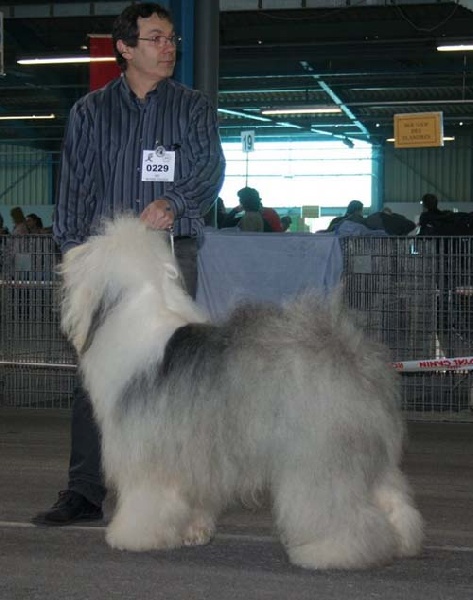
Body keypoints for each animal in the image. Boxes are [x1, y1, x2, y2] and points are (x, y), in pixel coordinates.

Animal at [60, 217, 423, 570]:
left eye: (89, 249)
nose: (67, 254)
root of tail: (349, 354)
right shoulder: (197, 458)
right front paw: (194, 532)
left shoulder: (148, 454)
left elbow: (145, 501)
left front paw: (131, 535)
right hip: (370, 454)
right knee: (391, 499)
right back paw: (402, 541)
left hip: (319, 456)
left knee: (339, 510)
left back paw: (333, 553)